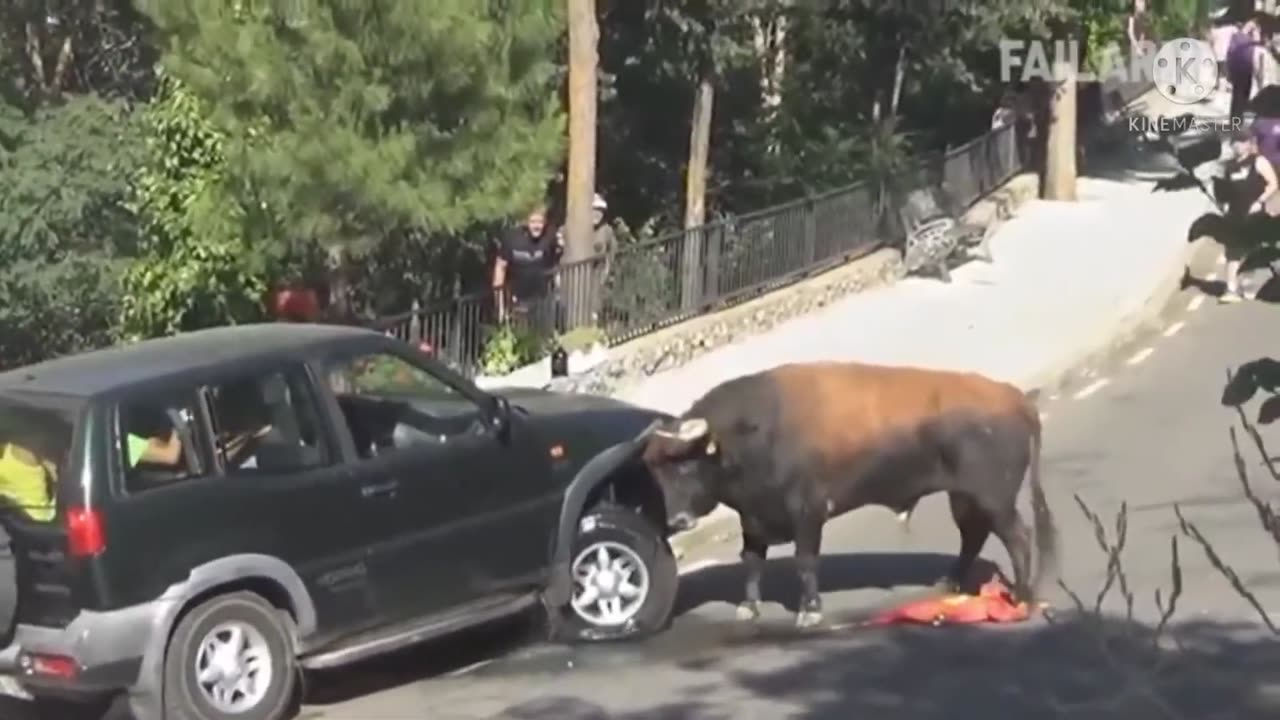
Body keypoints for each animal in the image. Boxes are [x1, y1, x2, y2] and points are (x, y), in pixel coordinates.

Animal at [645, 361, 1054, 625]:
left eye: (684, 465)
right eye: (656, 472)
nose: (675, 519)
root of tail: (1014, 397)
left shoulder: (808, 513)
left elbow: (805, 560)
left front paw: (810, 609)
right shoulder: (754, 519)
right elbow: (752, 561)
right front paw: (749, 606)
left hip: (994, 500)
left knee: (1018, 537)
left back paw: (1022, 596)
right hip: (964, 498)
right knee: (974, 535)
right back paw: (948, 582)